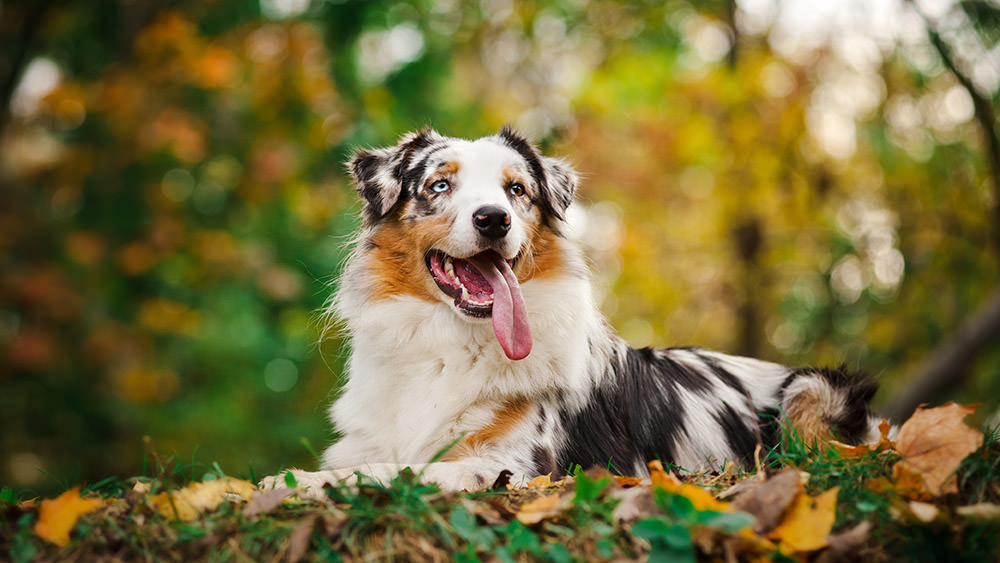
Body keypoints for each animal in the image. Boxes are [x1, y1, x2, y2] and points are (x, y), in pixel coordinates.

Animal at [260, 126, 884, 494]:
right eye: (438, 186)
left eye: (516, 191)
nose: (493, 219)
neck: (451, 341)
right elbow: (371, 460)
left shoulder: (517, 466)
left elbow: (400, 470)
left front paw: (290, 479)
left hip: (812, 391)